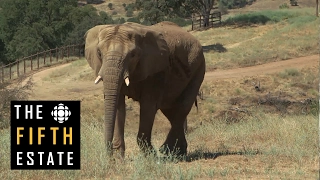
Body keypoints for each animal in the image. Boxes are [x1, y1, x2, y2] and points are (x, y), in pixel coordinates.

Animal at [84, 21, 205, 158]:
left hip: (199, 68)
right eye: (99, 53)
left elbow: (148, 107)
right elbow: (119, 106)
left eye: (133, 55)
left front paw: (150, 156)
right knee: (171, 112)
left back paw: (167, 150)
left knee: (183, 107)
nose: (109, 156)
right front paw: (119, 158)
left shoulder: (155, 71)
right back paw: (178, 153)